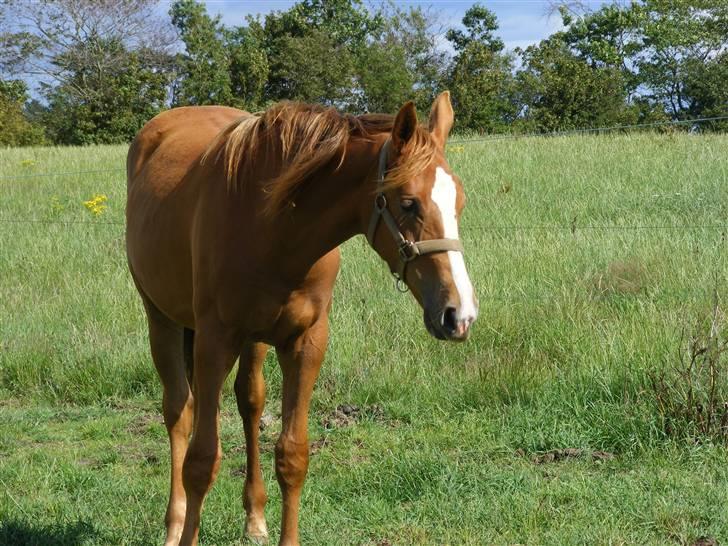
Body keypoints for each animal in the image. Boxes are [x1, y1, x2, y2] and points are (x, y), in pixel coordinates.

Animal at [126, 91, 478, 540]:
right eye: (408, 203)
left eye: (460, 202)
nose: (459, 314)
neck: (274, 228)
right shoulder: (213, 341)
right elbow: (201, 461)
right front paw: (187, 533)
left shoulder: (307, 341)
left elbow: (292, 455)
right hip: (162, 319)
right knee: (179, 411)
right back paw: (173, 524)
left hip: (253, 339)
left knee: (250, 402)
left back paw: (254, 517)